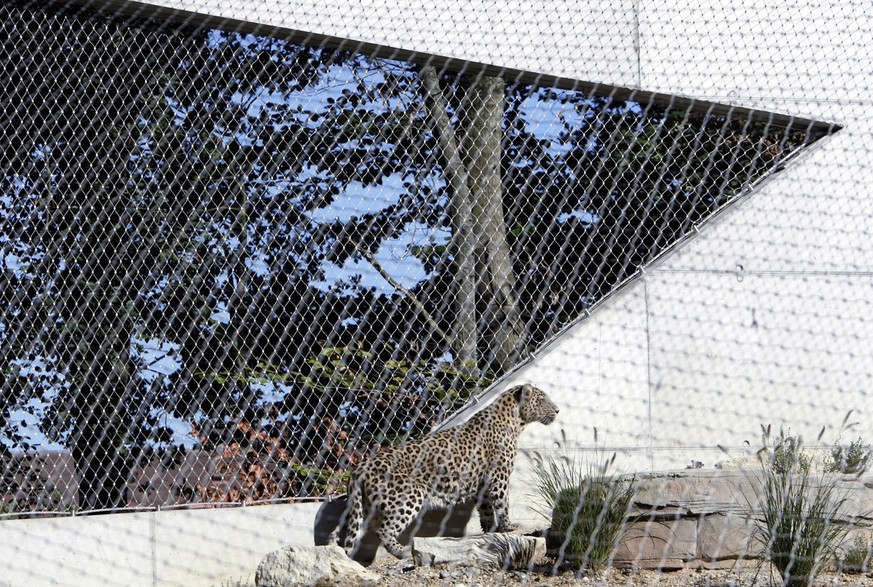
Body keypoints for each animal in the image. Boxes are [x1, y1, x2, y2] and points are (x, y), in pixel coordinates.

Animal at [334, 386, 560, 560]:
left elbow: (486, 510)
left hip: (366, 505)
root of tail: (360, 468)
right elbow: (503, 503)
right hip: (408, 496)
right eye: (542, 400)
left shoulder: (482, 483)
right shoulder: (499, 476)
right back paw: (403, 552)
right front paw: (509, 526)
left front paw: (490, 532)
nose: (558, 410)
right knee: (383, 529)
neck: (516, 419)